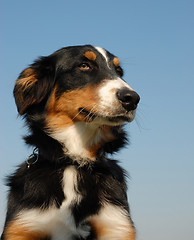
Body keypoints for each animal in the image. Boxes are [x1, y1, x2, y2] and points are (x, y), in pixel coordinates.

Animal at [1, 45, 139, 240]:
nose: (132, 99)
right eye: (84, 66)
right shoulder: (23, 225)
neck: (74, 162)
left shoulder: (115, 225)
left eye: (119, 72)